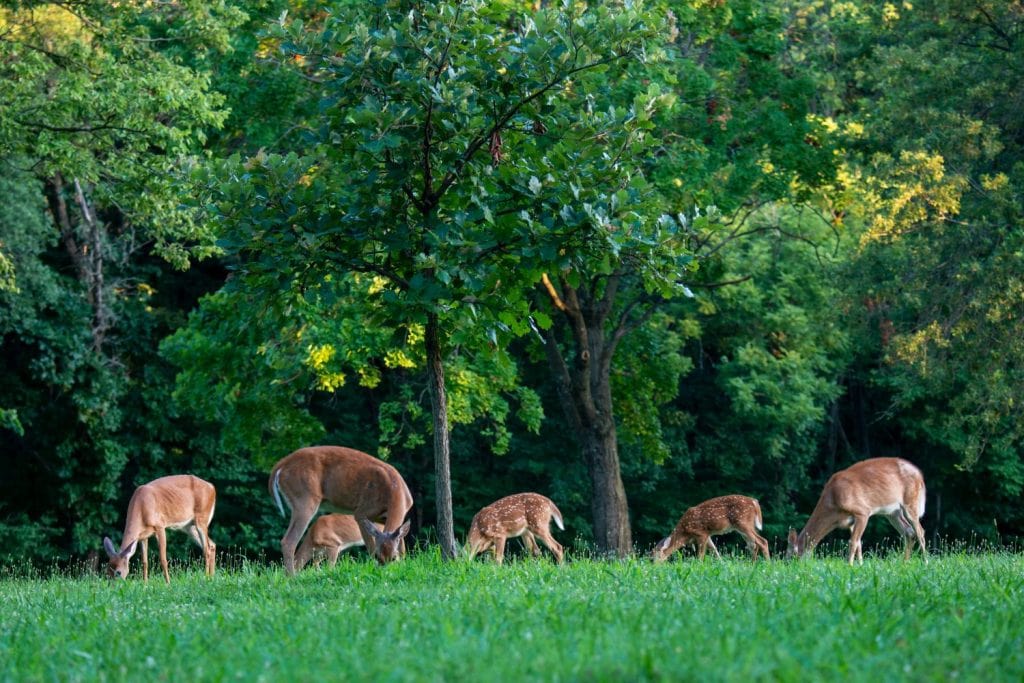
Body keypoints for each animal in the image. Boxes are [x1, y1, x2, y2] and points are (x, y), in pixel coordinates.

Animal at [269, 446, 413, 573]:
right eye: (379, 556)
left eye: (393, 558)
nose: (386, 570)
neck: (394, 491)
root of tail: (280, 465)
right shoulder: (362, 512)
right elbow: (371, 547)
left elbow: (402, 547)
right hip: (304, 498)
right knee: (289, 541)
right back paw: (291, 577)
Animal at [787, 457, 928, 565]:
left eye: (790, 556)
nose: (790, 566)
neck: (832, 502)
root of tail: (920, 475)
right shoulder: (850, 522)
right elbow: (859, 543)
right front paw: (860, 565)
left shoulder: (862, 511)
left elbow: (853, 542)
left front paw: (849, 566)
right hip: (893, 513)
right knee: (909, 532)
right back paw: (904, 563)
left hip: (910, 503)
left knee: (920, 531)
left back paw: (925, 562)